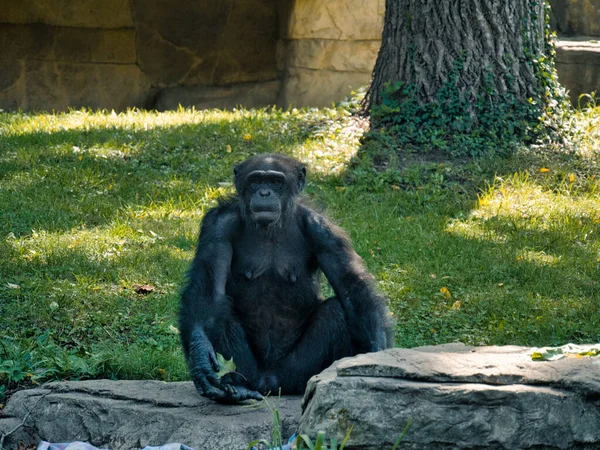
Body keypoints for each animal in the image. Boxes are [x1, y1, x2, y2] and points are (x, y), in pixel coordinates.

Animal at [178, 153, 394, 402]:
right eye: (256, 181)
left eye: (276, 182)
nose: (264, 193)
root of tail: (269, 384)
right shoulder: (217, 227)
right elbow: (209, 292)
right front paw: (201, 355)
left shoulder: (326, 233)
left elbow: (351, 286)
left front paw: (376, 356)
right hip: (248, 370)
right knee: (218, 315)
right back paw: (234, 389)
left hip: (297, 372)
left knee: (336, 312)